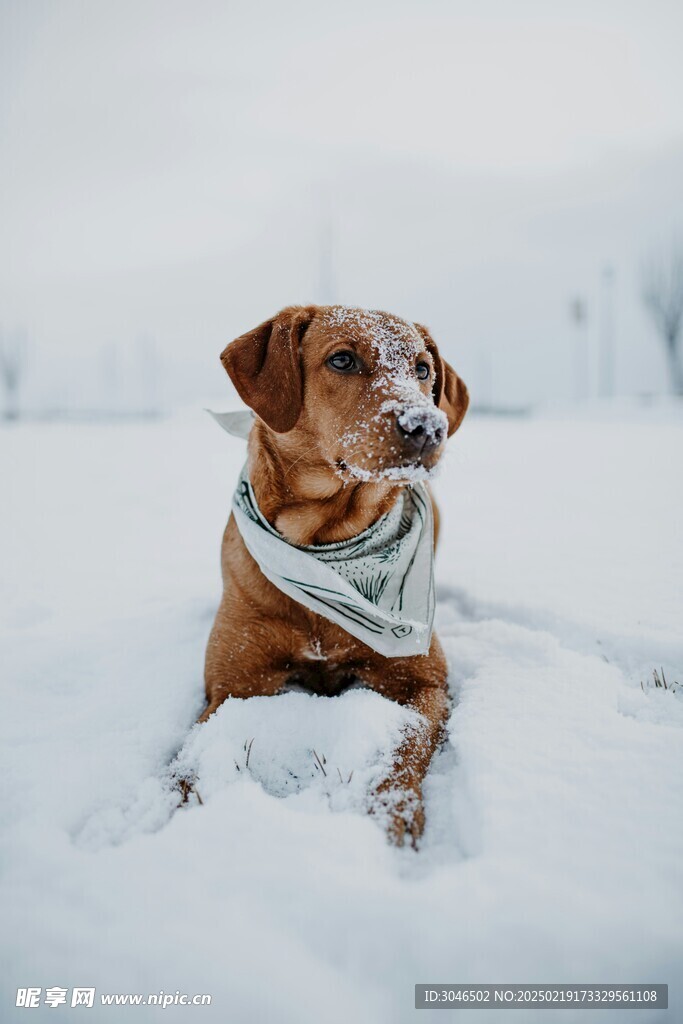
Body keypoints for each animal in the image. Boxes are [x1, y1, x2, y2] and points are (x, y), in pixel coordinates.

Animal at [204, 305, 471, 847]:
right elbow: (187, 761)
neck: (325, 541)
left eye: (422, 369)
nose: (427, 426)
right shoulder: (230, 685)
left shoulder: (424, 680)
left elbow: (407, 738)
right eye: (343, 360)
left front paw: (393, 809)